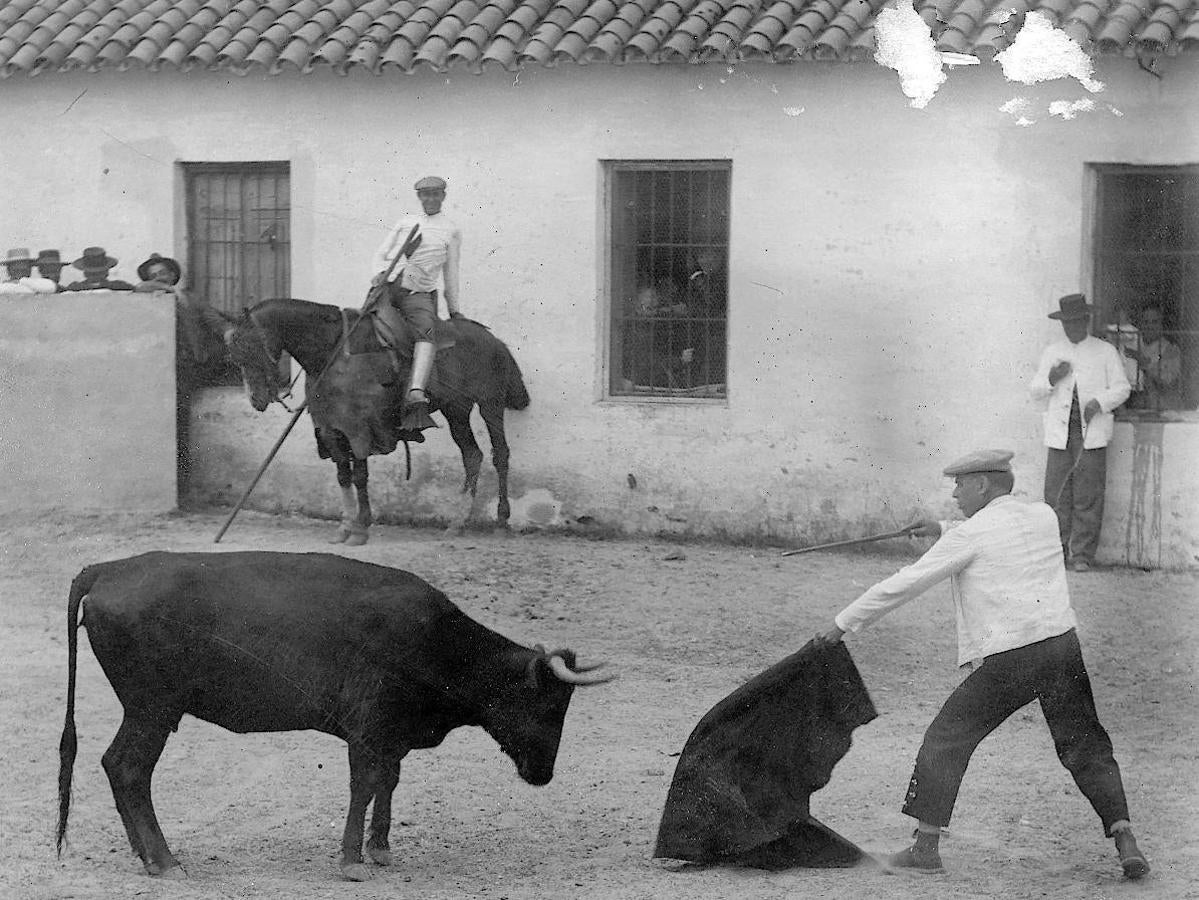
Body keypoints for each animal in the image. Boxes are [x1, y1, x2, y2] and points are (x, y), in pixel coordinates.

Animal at [53, 553, 618, 882]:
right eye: (546, 704)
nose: (543, 773)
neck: (435, 642)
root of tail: (108, 569)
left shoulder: (390, 736)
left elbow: (387, 783)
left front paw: (380, 850)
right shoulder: (367, 730)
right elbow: (364, 785)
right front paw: (351, 861)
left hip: (147, 710)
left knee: (118, 768)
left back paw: (145, 855)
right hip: (152, 709)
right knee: (129, 768)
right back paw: (165, 861)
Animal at [221, 299, 529, 546]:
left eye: (250, 347)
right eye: (234, 354)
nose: (257, 400)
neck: (331, 355)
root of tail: (494, 340)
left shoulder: (358, 431)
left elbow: (360, 477)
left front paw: (361, 528)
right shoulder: (331, 431)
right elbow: (343, 477)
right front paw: (345, 527)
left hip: (490, 405)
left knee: (500, 455)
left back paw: (502, 521)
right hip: (456, 410)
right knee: (472, 456)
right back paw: (458, 521)